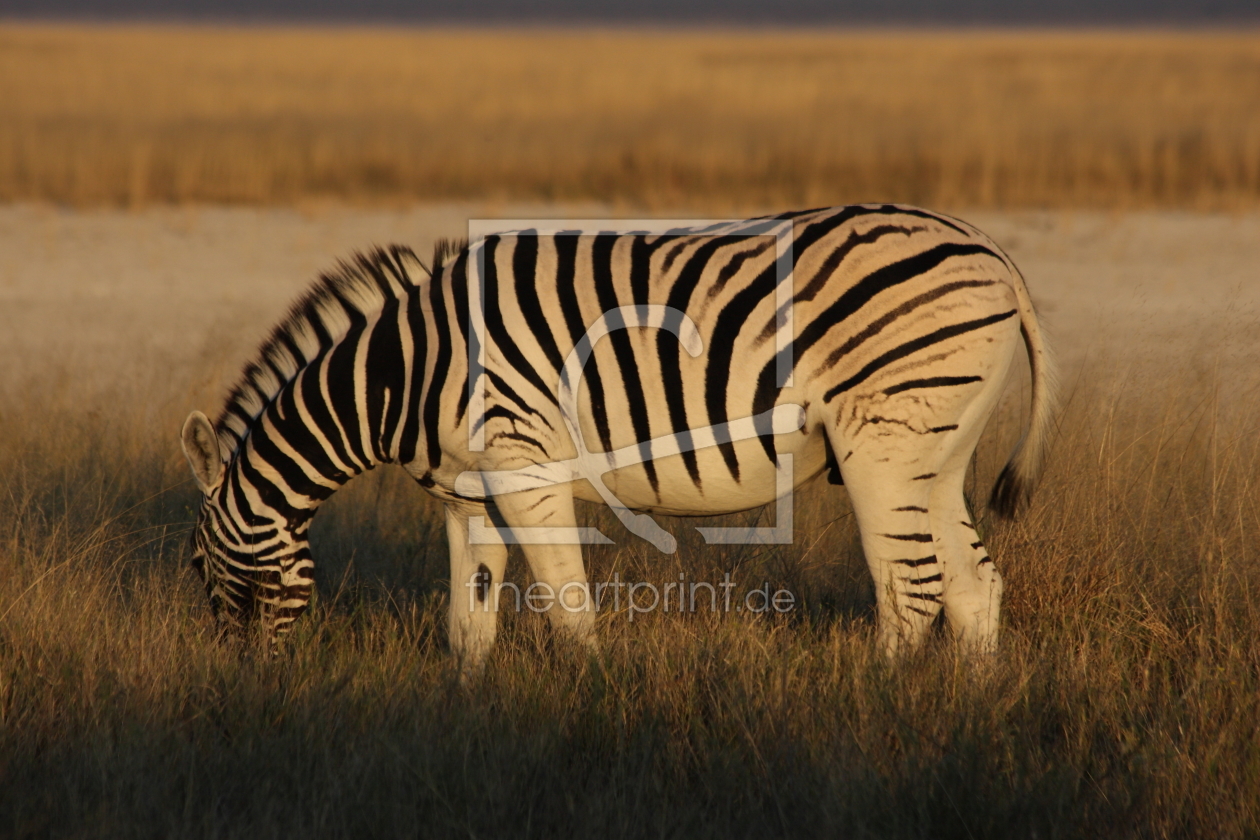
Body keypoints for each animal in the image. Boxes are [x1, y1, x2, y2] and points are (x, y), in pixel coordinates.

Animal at [182, 204, 1058, 669]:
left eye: (197, 567)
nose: (244, 686)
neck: (408, 372)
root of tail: (996, 256)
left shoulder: (522, 461)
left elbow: (567, 606)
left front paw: (591, 708)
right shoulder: (469, 495)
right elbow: (471, 619)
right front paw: (465, 718)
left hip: (884, 442)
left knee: (913, 590)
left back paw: (878, 712)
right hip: (936, 451)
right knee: (974, 587)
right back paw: (964, 721)